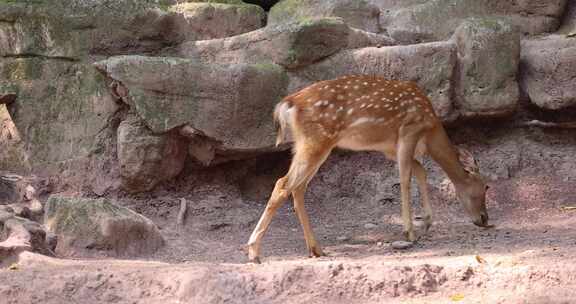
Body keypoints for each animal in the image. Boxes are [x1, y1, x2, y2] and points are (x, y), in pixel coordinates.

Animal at [245, 75, 488, 264]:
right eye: (485, 187)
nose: (484, 219)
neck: (430, 131)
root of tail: (288, 104)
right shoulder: (408, 131)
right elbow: (405, 178)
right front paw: (410, 232)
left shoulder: (390, 148)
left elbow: (421, 171)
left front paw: (427, 222)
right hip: (317, 140)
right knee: (283, 184)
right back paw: (254, 252)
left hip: (307, 144)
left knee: (297, 188)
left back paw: (316, 249)